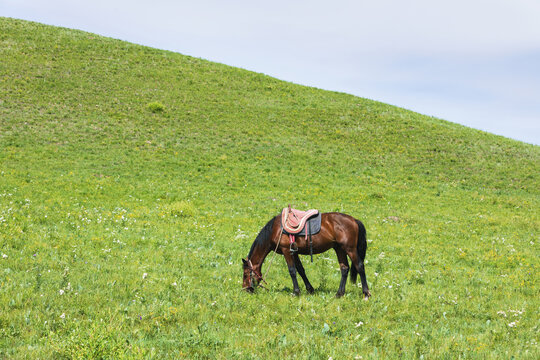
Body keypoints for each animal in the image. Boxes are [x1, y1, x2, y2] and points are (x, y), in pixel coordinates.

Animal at [242, 211, 372, 298]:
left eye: (246, 274)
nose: (245, 289)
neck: (276, 230)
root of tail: (354, 220)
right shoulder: (294, 252)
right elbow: (301, 270)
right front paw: (310, 289)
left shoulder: (286, 251)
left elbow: (292, 271)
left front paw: (296, 292)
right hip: (339, 249)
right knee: (344, 268)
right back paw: (339, 294)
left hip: (350, 249)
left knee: (360, 266)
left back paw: (366, 293)